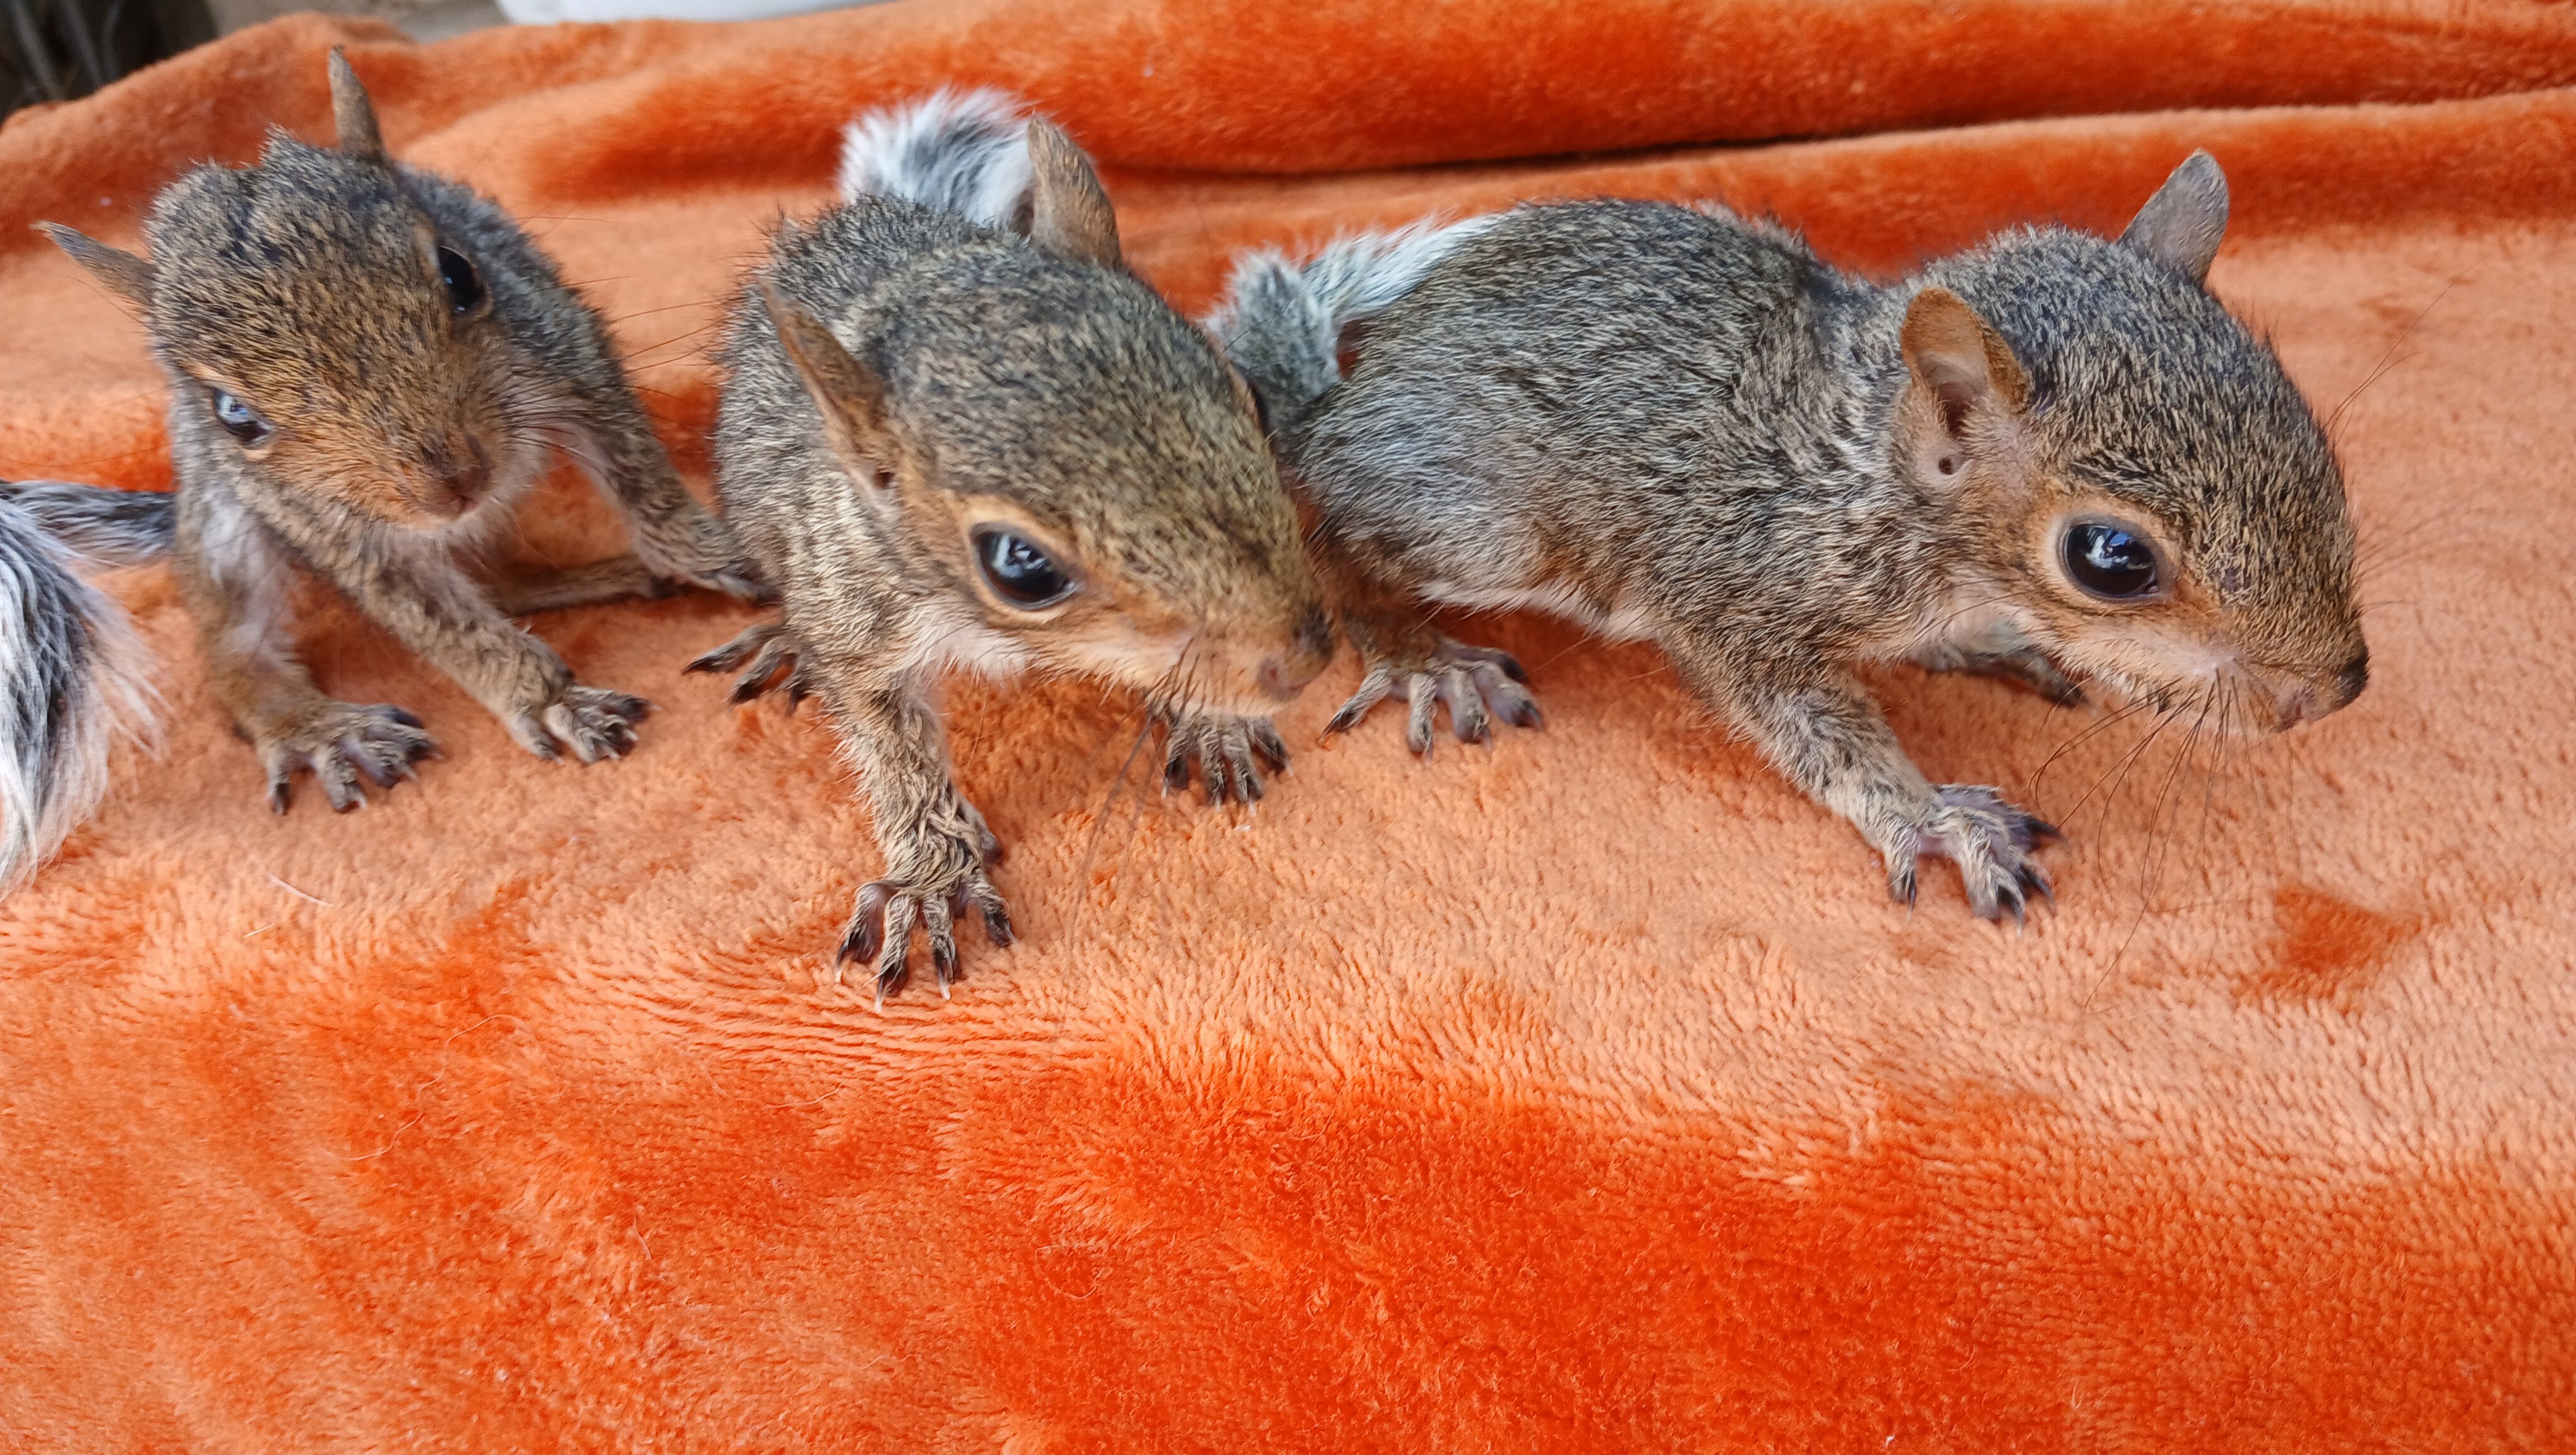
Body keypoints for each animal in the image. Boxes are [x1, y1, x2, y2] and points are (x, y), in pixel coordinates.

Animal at [31, 48, 759, 819]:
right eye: (234, 414)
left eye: (462, 275)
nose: (453, 483)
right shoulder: (343, 533)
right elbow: (445, 624)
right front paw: (550, 699)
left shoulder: (568, 353)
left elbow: (644, 483)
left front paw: (711, 550)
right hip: (227, 518)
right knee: (235, 652)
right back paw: (313, 726)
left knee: (503, 579)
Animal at [688, 90, 1332, 996]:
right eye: (1020, 567)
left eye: (1255, 400)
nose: (1305, 657)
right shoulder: (857, 615)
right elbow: (893, 753)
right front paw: (930, 878)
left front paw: (1216, 721)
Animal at [1209, 153, 2369, 921]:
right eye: (2110, 560)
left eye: (2307, 428)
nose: (2337, 689)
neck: (1870, 478)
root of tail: (1344, 398)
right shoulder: (1745, 598)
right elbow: (1818, 731)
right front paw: (1933, 817)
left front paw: (1990, 645)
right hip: (1483, 525)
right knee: (1337, 537)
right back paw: (1418, 653)